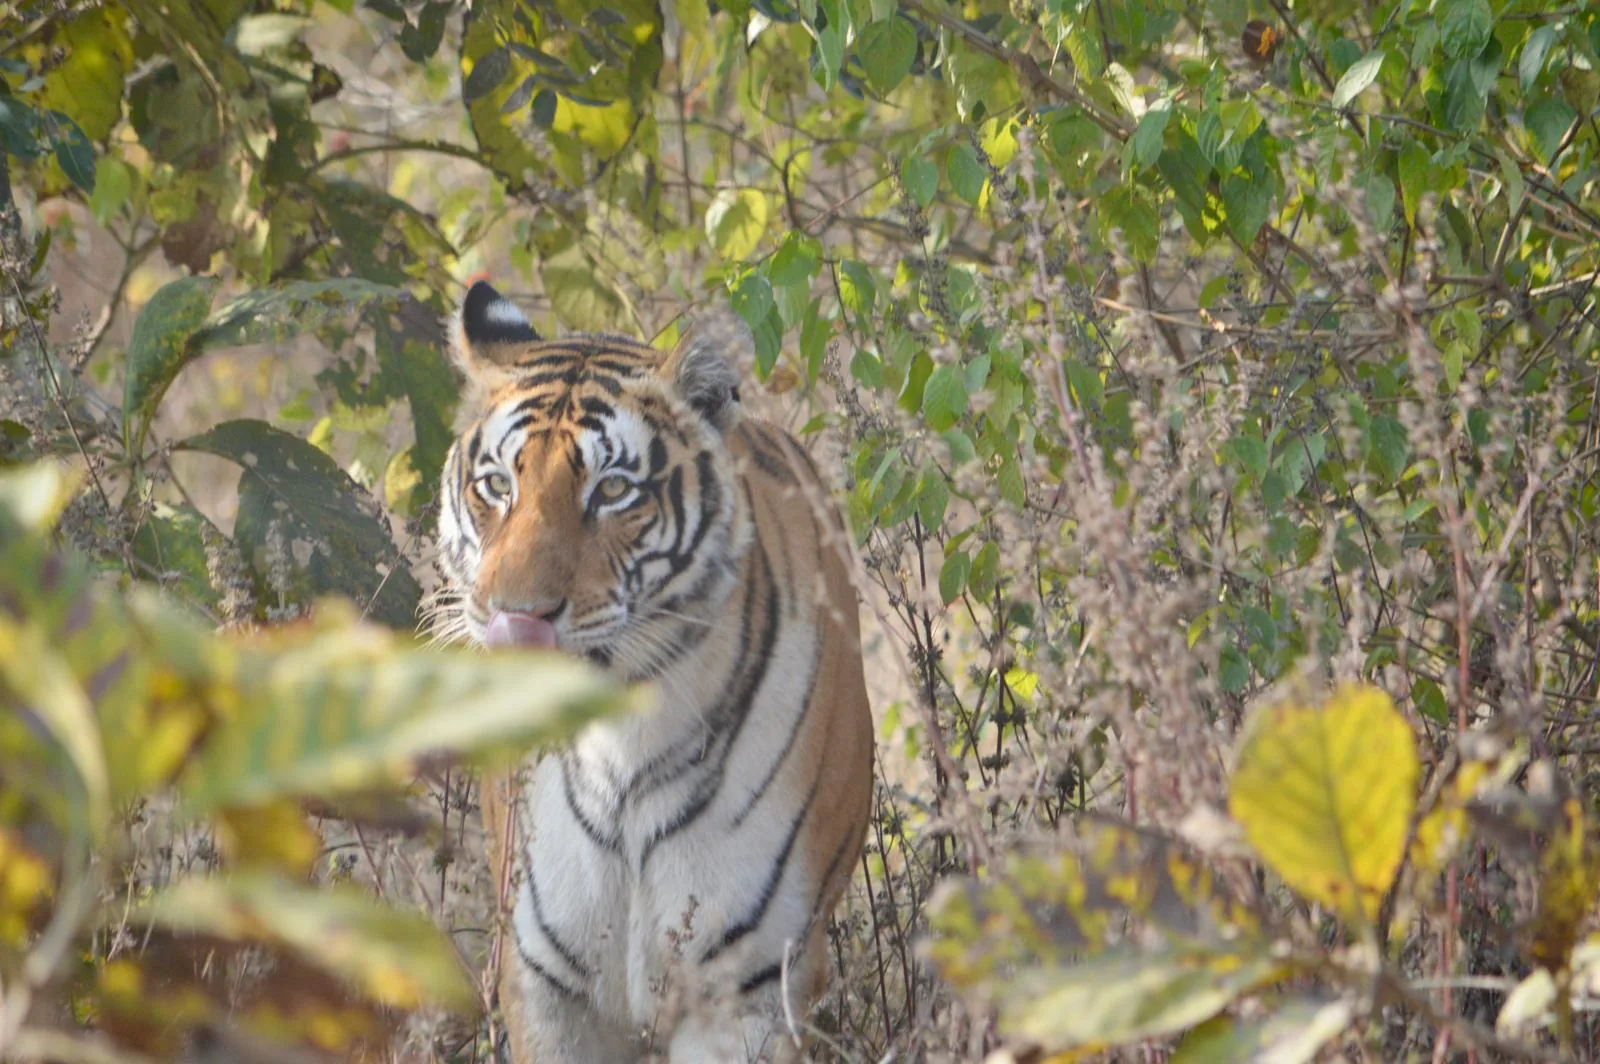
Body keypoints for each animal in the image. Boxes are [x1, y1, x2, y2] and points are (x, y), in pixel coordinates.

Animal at [428, 280, 876, 1063]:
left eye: (612, 492)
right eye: (496, 485)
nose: (517, 614)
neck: (620, 743)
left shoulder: (746, 988)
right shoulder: (545, 984)